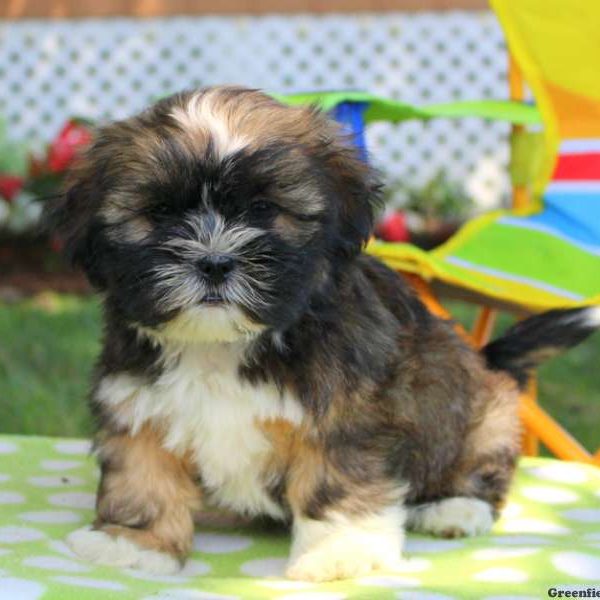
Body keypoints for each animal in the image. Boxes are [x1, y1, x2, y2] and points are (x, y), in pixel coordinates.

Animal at [48, 85, 600, 580]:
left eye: (263, 209)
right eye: (161, 213)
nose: (214, 262)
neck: (223, 344)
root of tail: (487, 361)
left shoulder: (347, 416)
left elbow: (336, 484)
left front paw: (341, 553)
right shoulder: (137, 401)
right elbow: (143, 472)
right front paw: (134, 542)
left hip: (480, 415)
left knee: (480, 460)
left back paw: (456, 506)